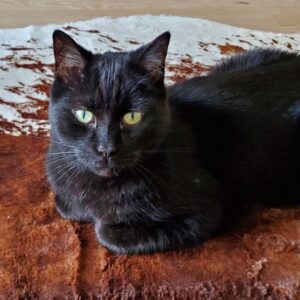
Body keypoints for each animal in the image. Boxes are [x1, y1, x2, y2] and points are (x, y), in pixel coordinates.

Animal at [45, 30, 300, 254]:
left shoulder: (206, 212)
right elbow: (66, 205)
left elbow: (107, 233)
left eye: (132, 117)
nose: (106, 149)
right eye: (84, 115)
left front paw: (104, 222)